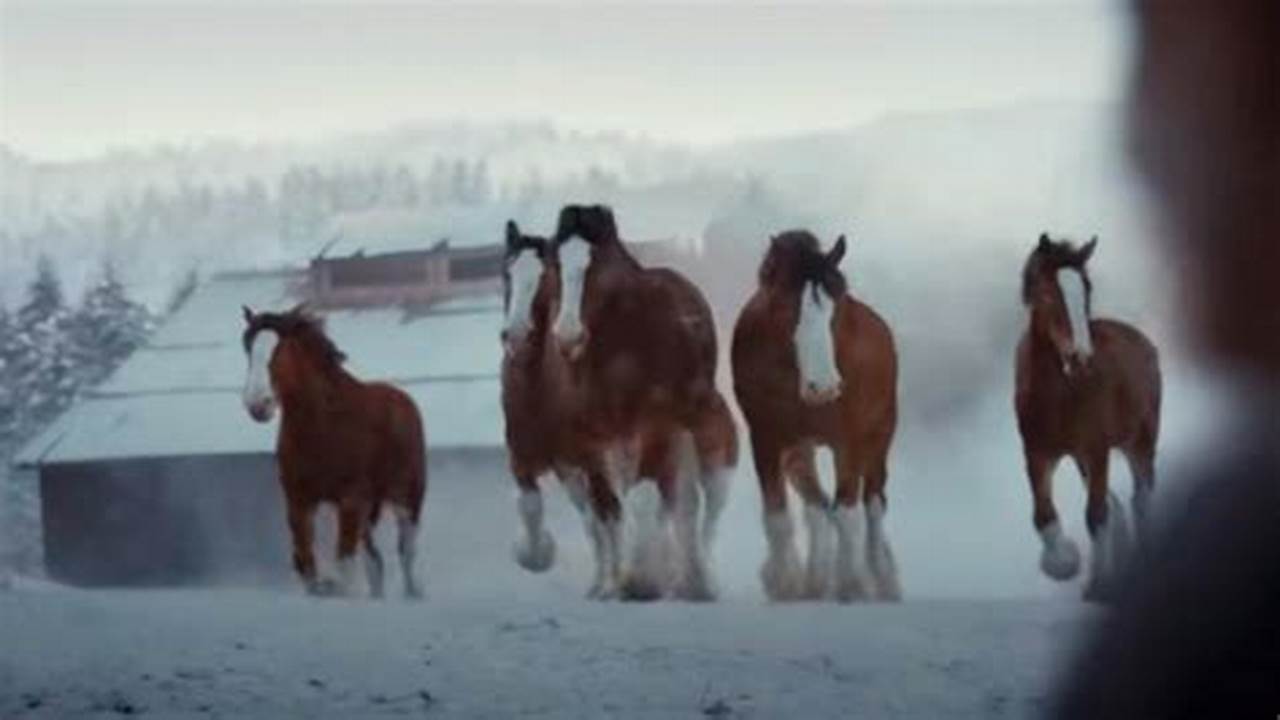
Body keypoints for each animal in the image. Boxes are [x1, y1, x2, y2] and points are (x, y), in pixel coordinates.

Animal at [241, 304, 432, 597]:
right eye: (248, 347)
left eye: (281, 348)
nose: (258, 404)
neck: (326, 426)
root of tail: (405, 400)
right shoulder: (299, 501)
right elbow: (306, 563)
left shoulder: (351, 500)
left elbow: (345, 567)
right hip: (368, 512)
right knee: (375, 563)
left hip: (407, 498)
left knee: (406, 554)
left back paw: (413, 595)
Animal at [501, 220, 742, 599]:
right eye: (506, 272)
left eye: (543, 278)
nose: (514, 336)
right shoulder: (531, 457)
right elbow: (536, 506)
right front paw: (538, 554)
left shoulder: (602, 453)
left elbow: (618, 514)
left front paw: (626, 579)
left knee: (689, 504)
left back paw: (686, 577)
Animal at [732, 229, 901, 599]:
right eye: (784, 307)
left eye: (836, 310)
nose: (823, 387)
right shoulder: (766, 439)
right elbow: (778, 515)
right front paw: (785, 583)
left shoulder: (847, 442)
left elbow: (849, 513)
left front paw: (852, 587)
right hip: (800, 451)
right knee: (818, 506)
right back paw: (816, 579)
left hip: (880, 434)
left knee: (873, 503)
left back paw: (881, 575)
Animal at [1018, 230, 1162, 599]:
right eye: (1045, 292)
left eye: (1086, 289)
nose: (1081, 359)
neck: (1059, 397)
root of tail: (1144, 341)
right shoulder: (1038, 453)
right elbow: (1043, 516)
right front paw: (1063, 563)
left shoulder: (1096, 451)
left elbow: (1096, 517)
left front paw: (1100, 587)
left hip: (1139, 442)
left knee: (1141, 498)